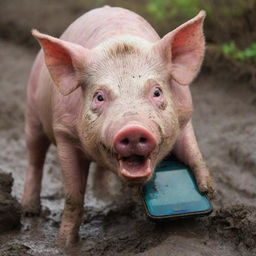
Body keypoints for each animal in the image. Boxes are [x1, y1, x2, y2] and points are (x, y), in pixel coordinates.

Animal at [21, 6, 214, 246]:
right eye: (99, 96)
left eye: (157, 92)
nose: (133, 129)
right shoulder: (63, 132)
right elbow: (73, 196)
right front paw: (65, 244)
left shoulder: (185, 116)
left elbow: (193, 153)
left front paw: (208, 190)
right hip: (32, 112)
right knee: (35, 158)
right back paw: (29, 212)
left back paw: (105, 198)